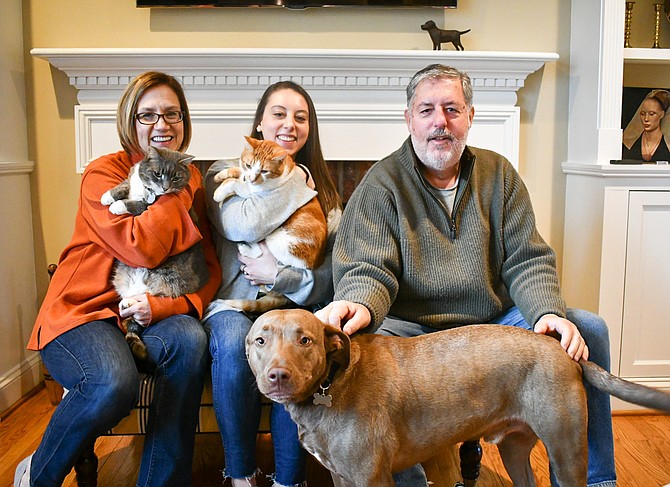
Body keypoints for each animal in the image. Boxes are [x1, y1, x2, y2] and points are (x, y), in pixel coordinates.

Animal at [100, 145, 207, 362]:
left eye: (176, 177)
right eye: (158, 174)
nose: (164, 188)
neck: (147, 190)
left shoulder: (148, 206)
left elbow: (136, 204)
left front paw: (117, 206)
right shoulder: (132, 178)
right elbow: (124, 185)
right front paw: (108, 195)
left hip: (165, 275)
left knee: (152, 292)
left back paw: (129, 302)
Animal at [213, 137, 328, 312]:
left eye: (264, 171)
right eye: (249, 165)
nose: (253, 178)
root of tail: (313, 263)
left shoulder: (253, 194)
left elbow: (235, 183)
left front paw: (219, 192)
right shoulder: (246, 175)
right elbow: (237, 172)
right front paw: (222, 175)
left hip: (277, 236)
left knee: (260, 252)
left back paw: (245, 248)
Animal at [247, 310, 670, 486]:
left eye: (305, 340)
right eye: (260, 340)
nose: (278, 375)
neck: (331, 385)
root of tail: (561, 349)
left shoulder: (371, 477)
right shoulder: (340, 476)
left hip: (567, 452)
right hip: (516, 451)